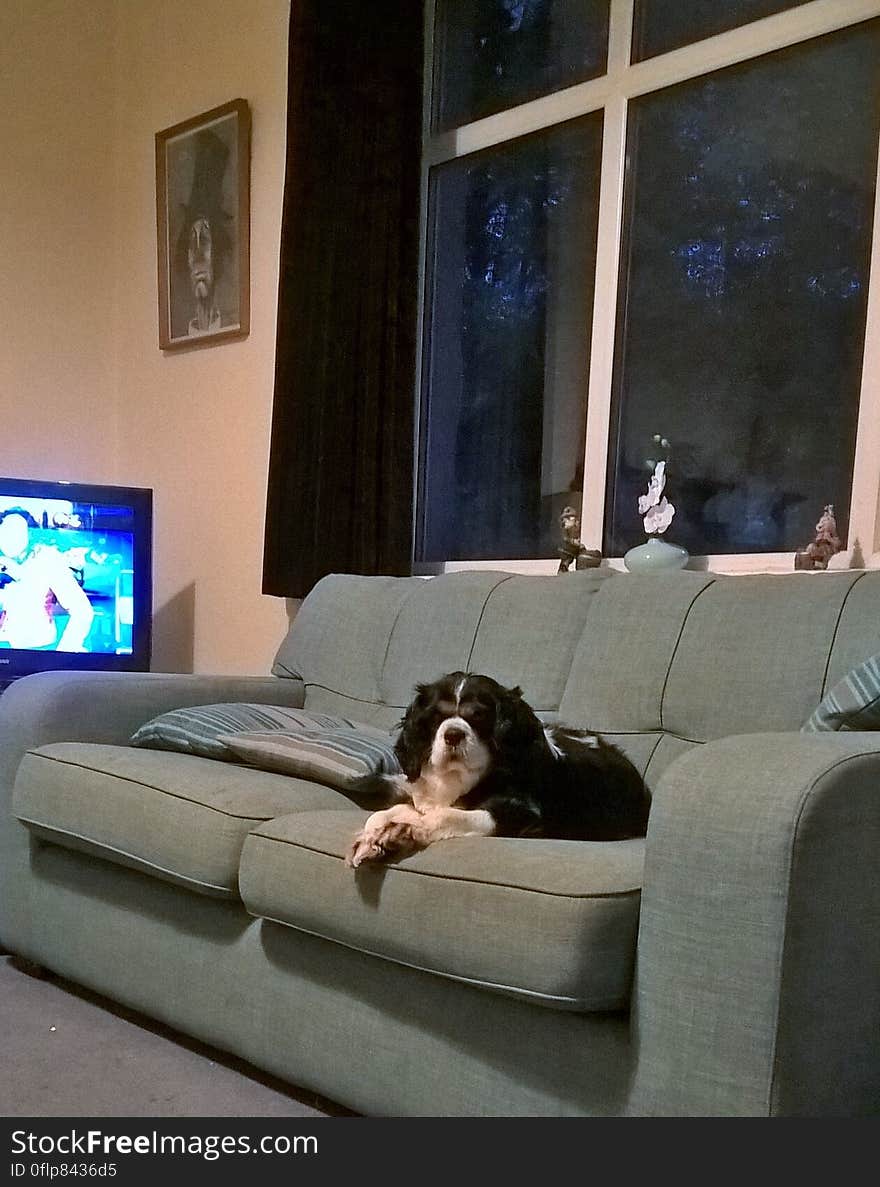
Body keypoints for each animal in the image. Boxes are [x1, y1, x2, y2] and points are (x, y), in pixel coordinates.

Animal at [346, 674, 650, 868]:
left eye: (478, 715)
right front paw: (374, 837)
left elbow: (446, 816)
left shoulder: (522, 813)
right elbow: (389, 812)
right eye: (437, 717)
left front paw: (403, 833)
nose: (453, 735)